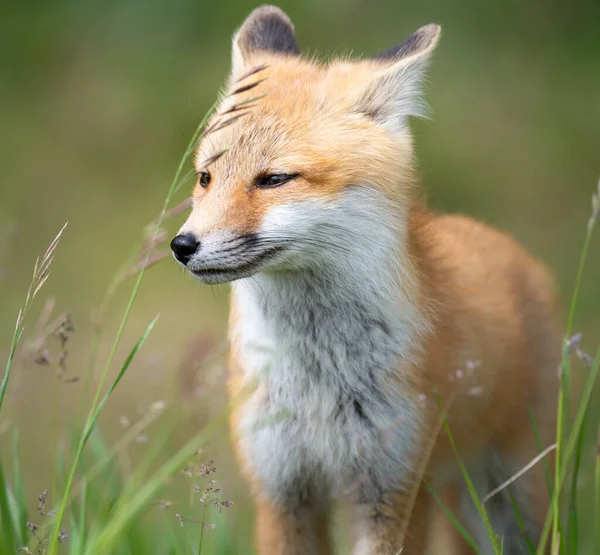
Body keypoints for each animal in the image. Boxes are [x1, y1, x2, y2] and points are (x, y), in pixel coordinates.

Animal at [171, 5, 560, 555]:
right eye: (205, 177)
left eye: (274, 180)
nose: (182, 246)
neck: (316, 378)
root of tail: (513, 249)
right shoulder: (281, 485)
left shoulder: (394, 483)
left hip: (512, 494)